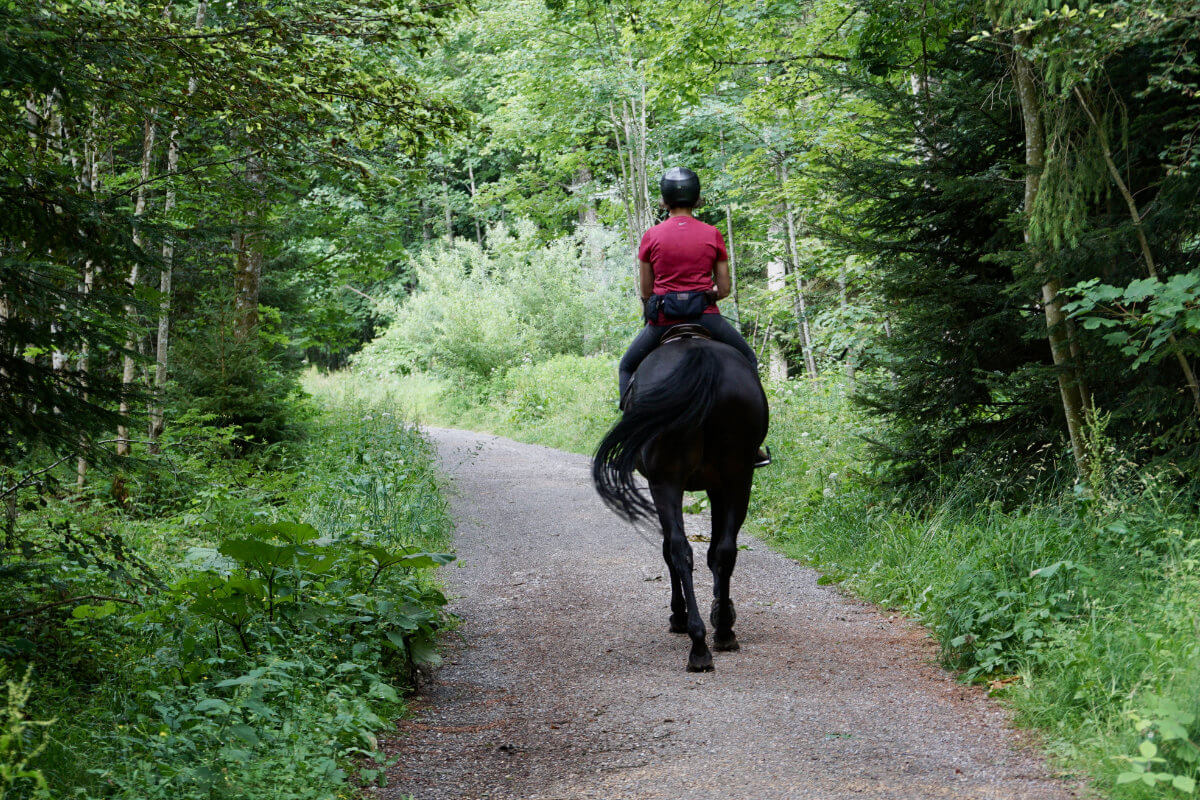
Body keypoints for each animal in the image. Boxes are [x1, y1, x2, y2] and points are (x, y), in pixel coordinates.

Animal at [590, 333, 768, 676]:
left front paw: (682, 614)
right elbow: (715, 551)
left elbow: (671, 550)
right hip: (738, 476)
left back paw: (696, 640)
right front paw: (720, 608)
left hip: (667, 481)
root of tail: (699, 355)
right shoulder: (717, 485)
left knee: (678, 550)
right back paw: (721, 632)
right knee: (723, 550)